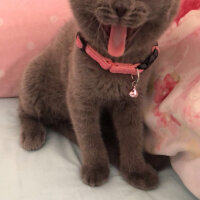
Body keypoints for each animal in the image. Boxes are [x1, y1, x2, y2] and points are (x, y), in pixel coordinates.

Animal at [19, 0, 180, 190]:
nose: (120, 8)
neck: (115, 66)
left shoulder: (132, 103)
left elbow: (132, 136)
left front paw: (136, 171)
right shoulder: (80, 96)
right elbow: (89, 135)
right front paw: (95, 168)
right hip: (33, 75)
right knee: (25, 110)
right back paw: (32, 134)